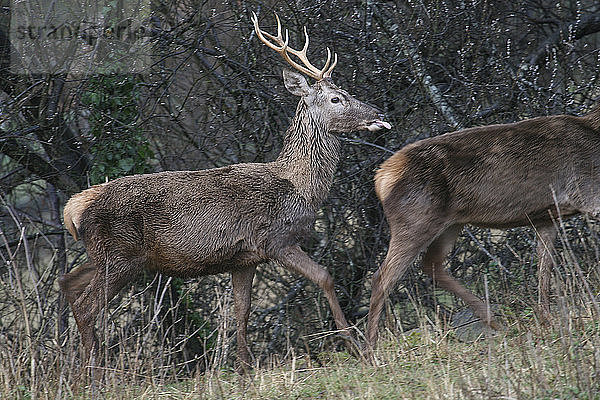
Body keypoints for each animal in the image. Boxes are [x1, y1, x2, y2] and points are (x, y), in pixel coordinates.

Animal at [59, 12, 390, 376]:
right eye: (336, 98)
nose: (379, 114)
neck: (301, 186)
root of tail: (75, 208)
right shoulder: (278, 240)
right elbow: (326, 278)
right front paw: (357, 347)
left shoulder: (245, 258)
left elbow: (241, 311)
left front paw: (245, 367)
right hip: (120, 257)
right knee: (88, 306)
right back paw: (93, 375)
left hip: (104, 256)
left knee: (69, 284)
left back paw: (83, 371)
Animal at [366, 104, 600, 352]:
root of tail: (380, 178)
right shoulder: (587, 193)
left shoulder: (547, 217)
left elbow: (544, 269)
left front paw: (546, 320)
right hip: (415, 221)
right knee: (382, 278)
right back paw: (369, 351)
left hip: (451, 223)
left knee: (431, 264)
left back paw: (492, 319)